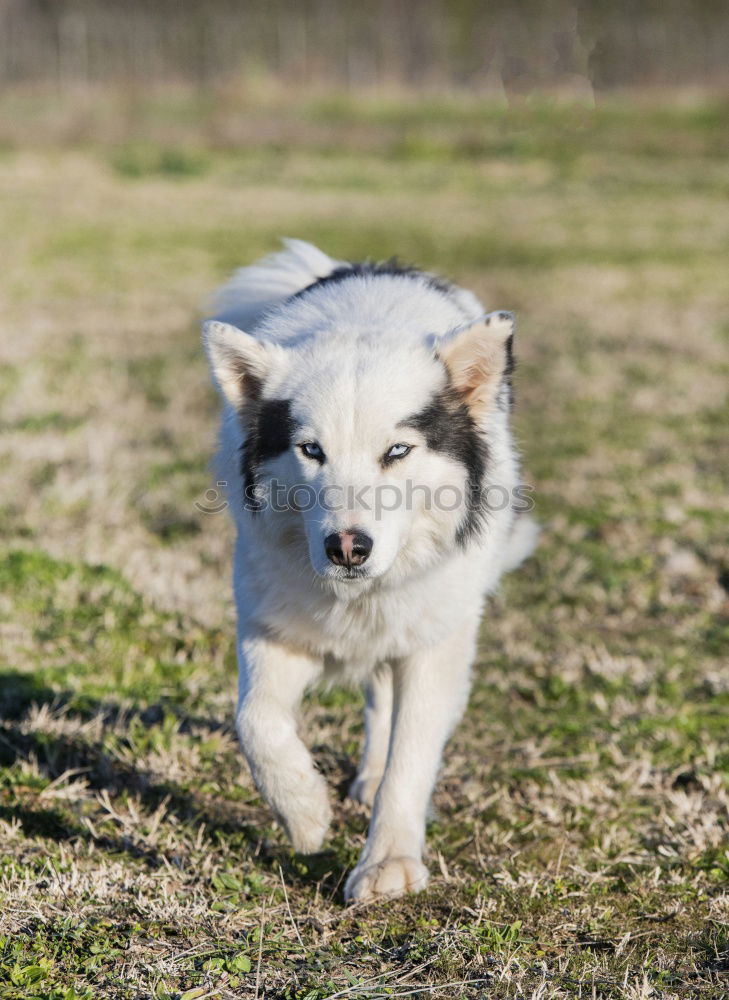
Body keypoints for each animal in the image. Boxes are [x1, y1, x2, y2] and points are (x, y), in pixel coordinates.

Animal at [202, 240, 536, 900]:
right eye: (311, 451)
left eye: (398, 451)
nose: (348, 548)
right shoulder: (271, 625)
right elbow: (256, 722)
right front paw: (306, 814)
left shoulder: (434, 644)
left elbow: (412, 755)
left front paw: (388, 863)